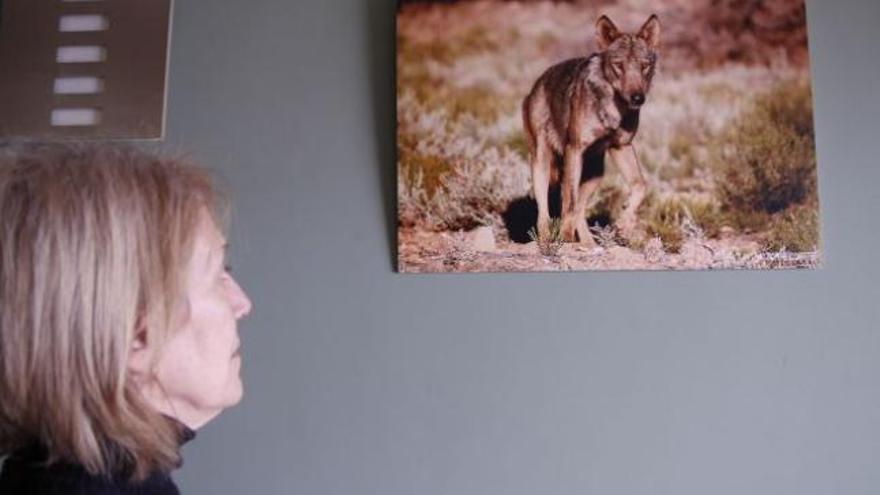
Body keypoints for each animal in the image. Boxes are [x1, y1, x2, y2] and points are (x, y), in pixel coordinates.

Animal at [524, 14, 660, 247]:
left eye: (644, 66)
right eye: (619, 65)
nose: (637, 98)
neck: (614, 110)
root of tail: (540, 79)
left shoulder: (621, 146)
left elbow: (640, 185)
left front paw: (624, 224)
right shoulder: (575, 148)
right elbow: (568, 203)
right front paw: (565, 238)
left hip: (595, 175)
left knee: (579, 208)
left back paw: (589, 245)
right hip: (543, 161)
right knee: (546, 210)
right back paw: (547, 241)